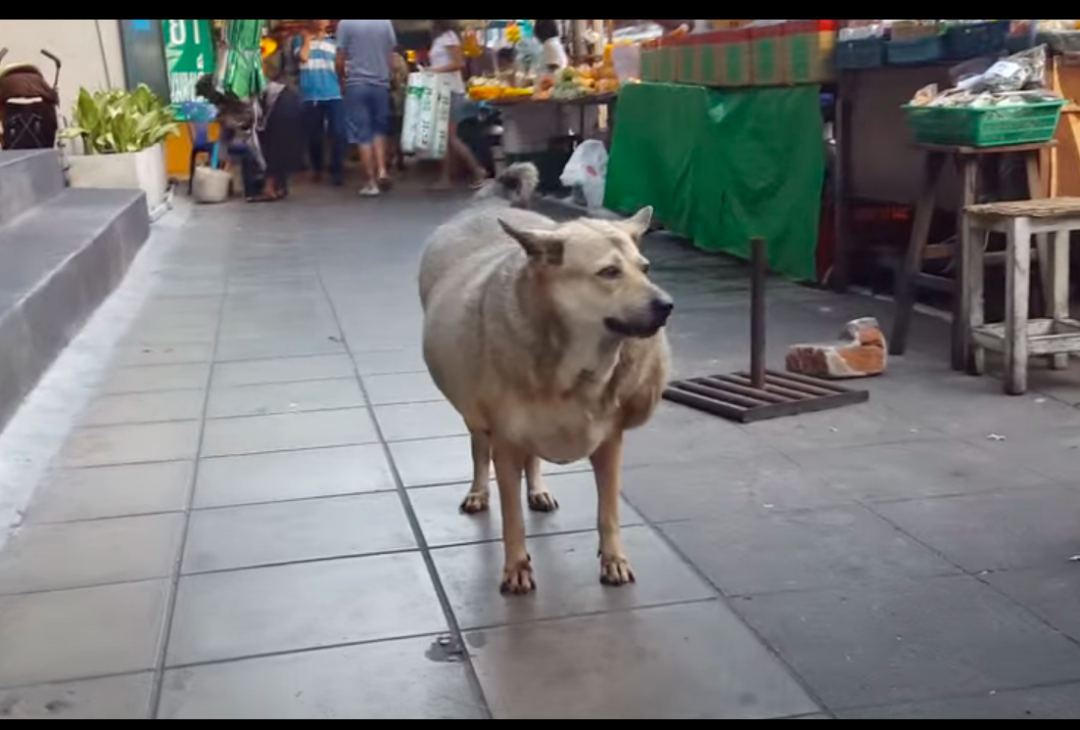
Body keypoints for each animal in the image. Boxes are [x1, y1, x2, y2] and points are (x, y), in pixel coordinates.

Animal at [416, 164, 669, 591]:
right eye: (609, 272)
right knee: (479, 448)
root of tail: (490, 203)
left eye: (646, 268)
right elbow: (511, 517)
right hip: (474, 411)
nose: (667, 305)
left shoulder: (609, 443)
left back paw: (537, 489)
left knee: (533, 457)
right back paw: (479, 490)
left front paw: (613, 558)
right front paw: (516, 565)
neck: (578, 363)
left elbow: (608, 510)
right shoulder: (505, 443)